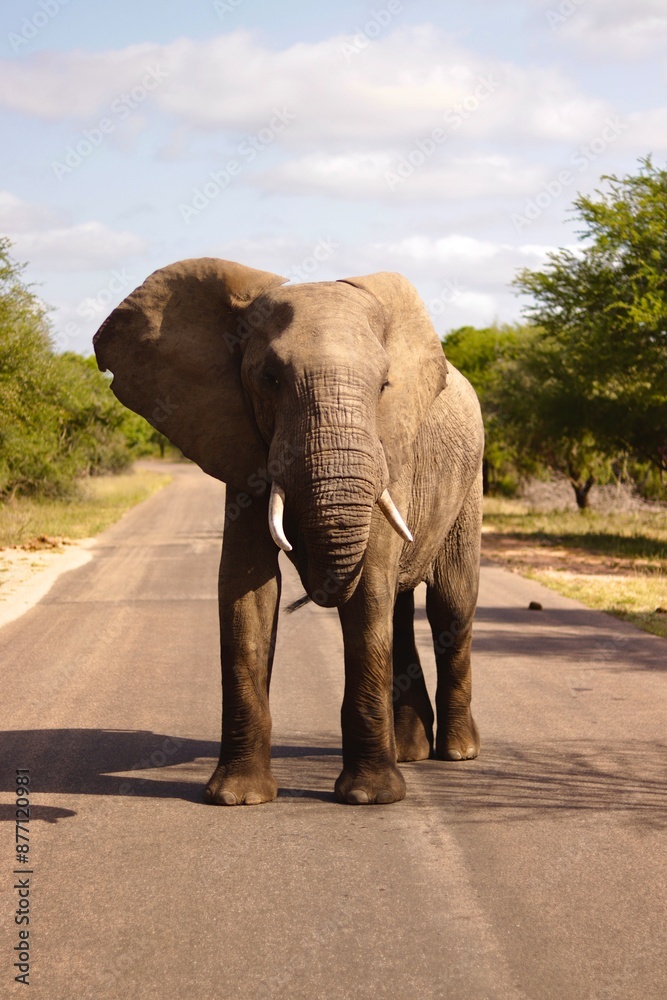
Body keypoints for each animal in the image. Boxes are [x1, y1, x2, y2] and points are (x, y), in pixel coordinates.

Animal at [93, 258, 484, 806]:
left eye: (385, 384)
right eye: (270, 378)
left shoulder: (391, 455)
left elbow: (369, 589)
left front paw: (369, 798)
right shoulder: (239, 441)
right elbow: (246, 590)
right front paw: (237, 798)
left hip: (469, 481)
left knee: (451, 603)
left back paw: (458, 753)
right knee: (402, 605)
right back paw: (411, 751)